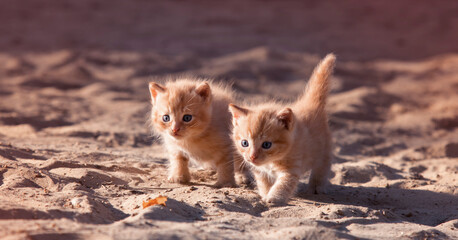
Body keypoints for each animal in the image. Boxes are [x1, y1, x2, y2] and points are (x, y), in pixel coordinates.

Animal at [228, 54, 332, 204]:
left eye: (266, 144)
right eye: (244, 143)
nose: (252, 156)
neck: (270, 163)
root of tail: (310, 105)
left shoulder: (291, 169)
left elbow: (283, 184)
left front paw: (273, 198)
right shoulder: (260, 171)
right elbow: (264, 183)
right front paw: (265, 194)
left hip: (324, 150)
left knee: (322, 167)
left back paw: (317, 186)